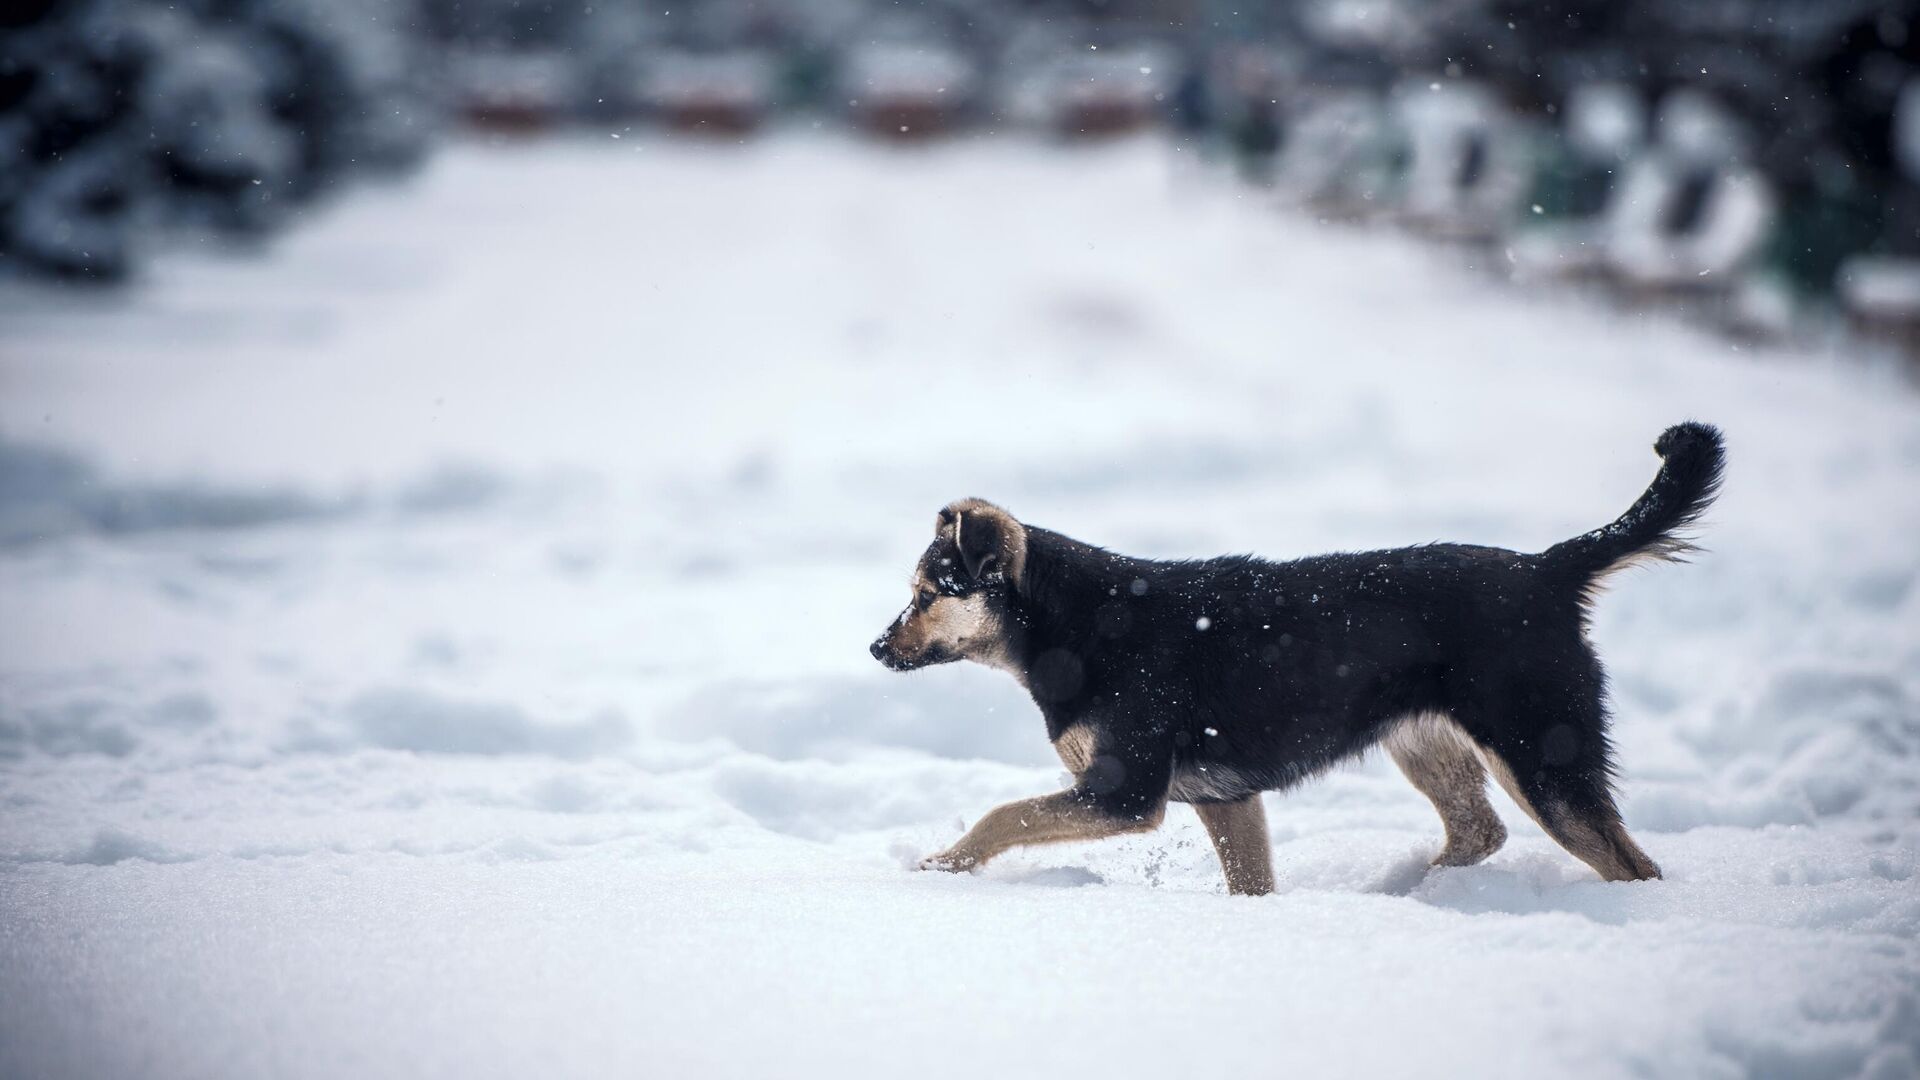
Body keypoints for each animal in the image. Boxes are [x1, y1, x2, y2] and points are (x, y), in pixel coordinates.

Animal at [871, 420, 1728, 891]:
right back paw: (1410, 891)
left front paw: (938, 868)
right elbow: (1251, 884)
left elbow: (1001, 814)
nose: (876, 648)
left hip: (1542, 754)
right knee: (1478, 832)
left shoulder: (1125, 792)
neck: (1073, 624)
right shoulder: (1225, 799)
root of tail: (1548, 569)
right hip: (1427, 743)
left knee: (1629, 864)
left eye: (927, 593)